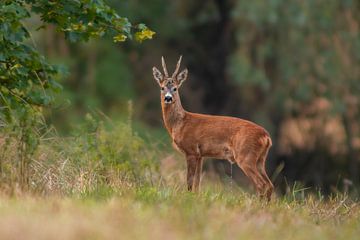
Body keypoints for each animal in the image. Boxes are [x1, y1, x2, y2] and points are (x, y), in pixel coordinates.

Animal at [151, 56, 272, 201]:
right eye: (162, 87)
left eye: (175, 88)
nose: (168, 98)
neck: (179, 123)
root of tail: (266, 137)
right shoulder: (200, 155)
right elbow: (197, 183)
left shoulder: (191, 150)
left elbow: (189, 182)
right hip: (260, 159)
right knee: (269, 185)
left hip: (245, 155)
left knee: (261, 185)